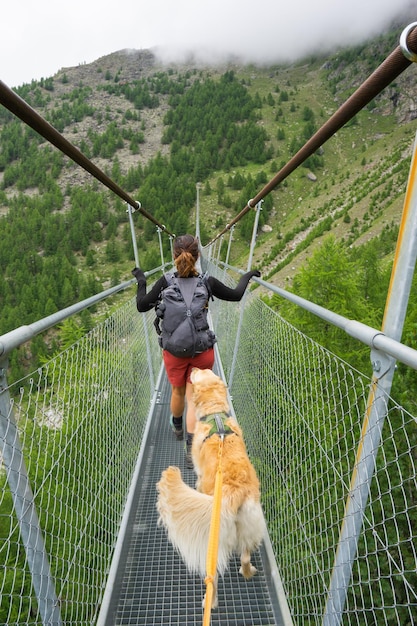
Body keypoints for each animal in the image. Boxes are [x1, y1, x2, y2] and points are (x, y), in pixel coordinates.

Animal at [156, 366, 264, 604]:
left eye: (199, 373)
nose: (194, 367)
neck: (215, 413)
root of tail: (234, 492)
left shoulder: (198, 475)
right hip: (249, 528)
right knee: (244, 558)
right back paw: (248, 571)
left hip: (211, 541)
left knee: (212, 578)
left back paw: (210, 601)